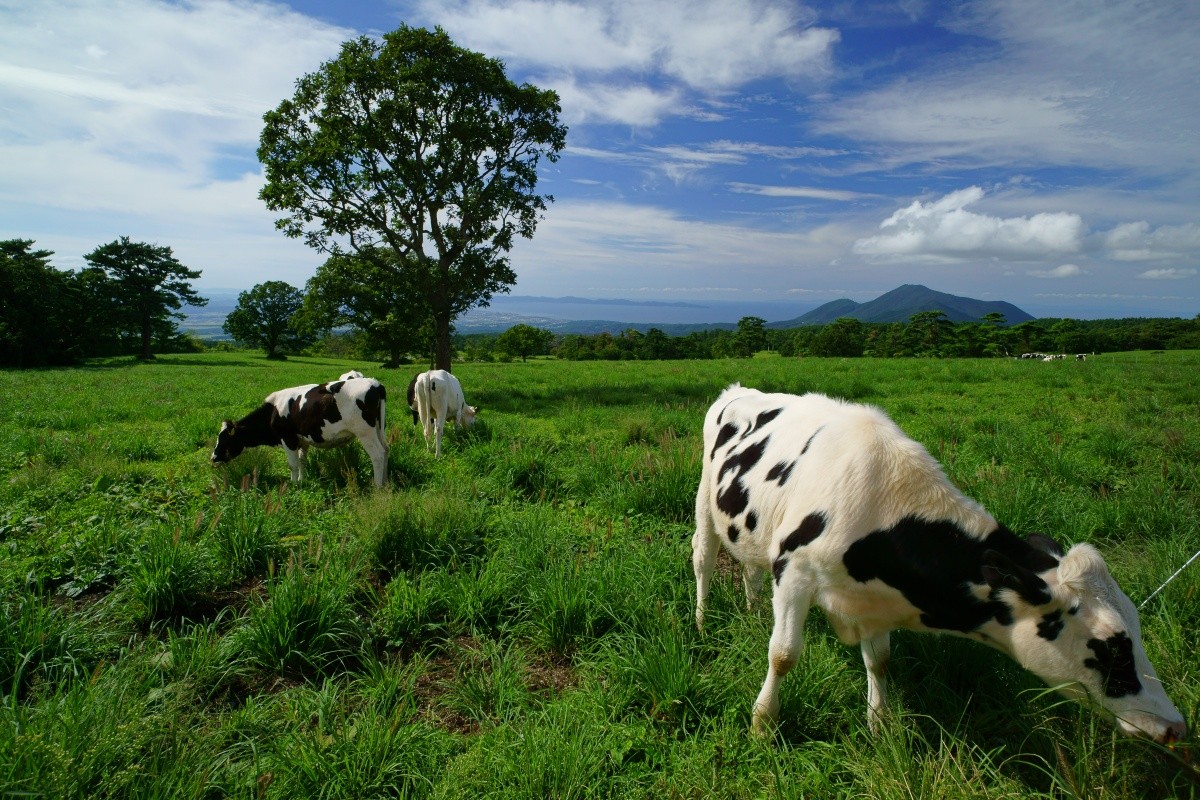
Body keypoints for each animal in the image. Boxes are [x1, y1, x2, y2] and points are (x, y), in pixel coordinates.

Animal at [211, 376, 388, 489]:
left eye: (224, 439)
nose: (213, 458)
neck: (273, 411)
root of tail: (374, 383)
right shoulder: (303, 440)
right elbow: (302, 461)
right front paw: (302, 480)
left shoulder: (287, 439)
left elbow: (293, 464)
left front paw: (294, 484)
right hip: (379, 429)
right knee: (386, 450)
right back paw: (384, 483)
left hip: (365, 432)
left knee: (378, 455)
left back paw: (378, 487)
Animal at [691, 383, 1185, 743]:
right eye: (1111, 647)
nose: (1175, 725)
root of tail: (739, 389)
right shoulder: (794, 573)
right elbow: (784, 655)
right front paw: (763, 724)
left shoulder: (873, 602)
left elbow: (880, 661)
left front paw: (879, 725)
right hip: (705, 503)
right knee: (705, 559)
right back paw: (700, 621)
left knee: (751, 568)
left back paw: (753, 611)